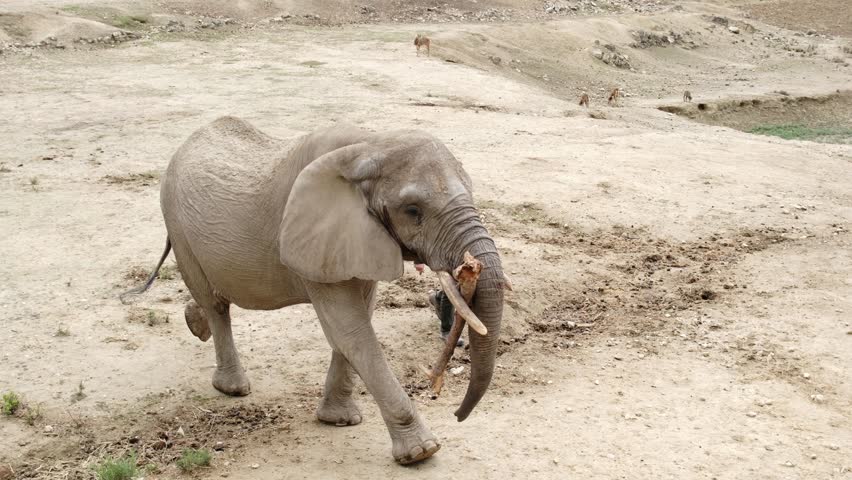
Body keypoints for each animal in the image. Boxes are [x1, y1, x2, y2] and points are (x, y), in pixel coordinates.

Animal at [125, 116, 506, 464]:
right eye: (413, 211)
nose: (456, 414)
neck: (371, 145)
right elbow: (350, 329)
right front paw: (421, 452)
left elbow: (357, 321)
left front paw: (339, 421)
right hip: (176, 221)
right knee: (215, 304)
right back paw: (232, 387)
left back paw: (195, 323)